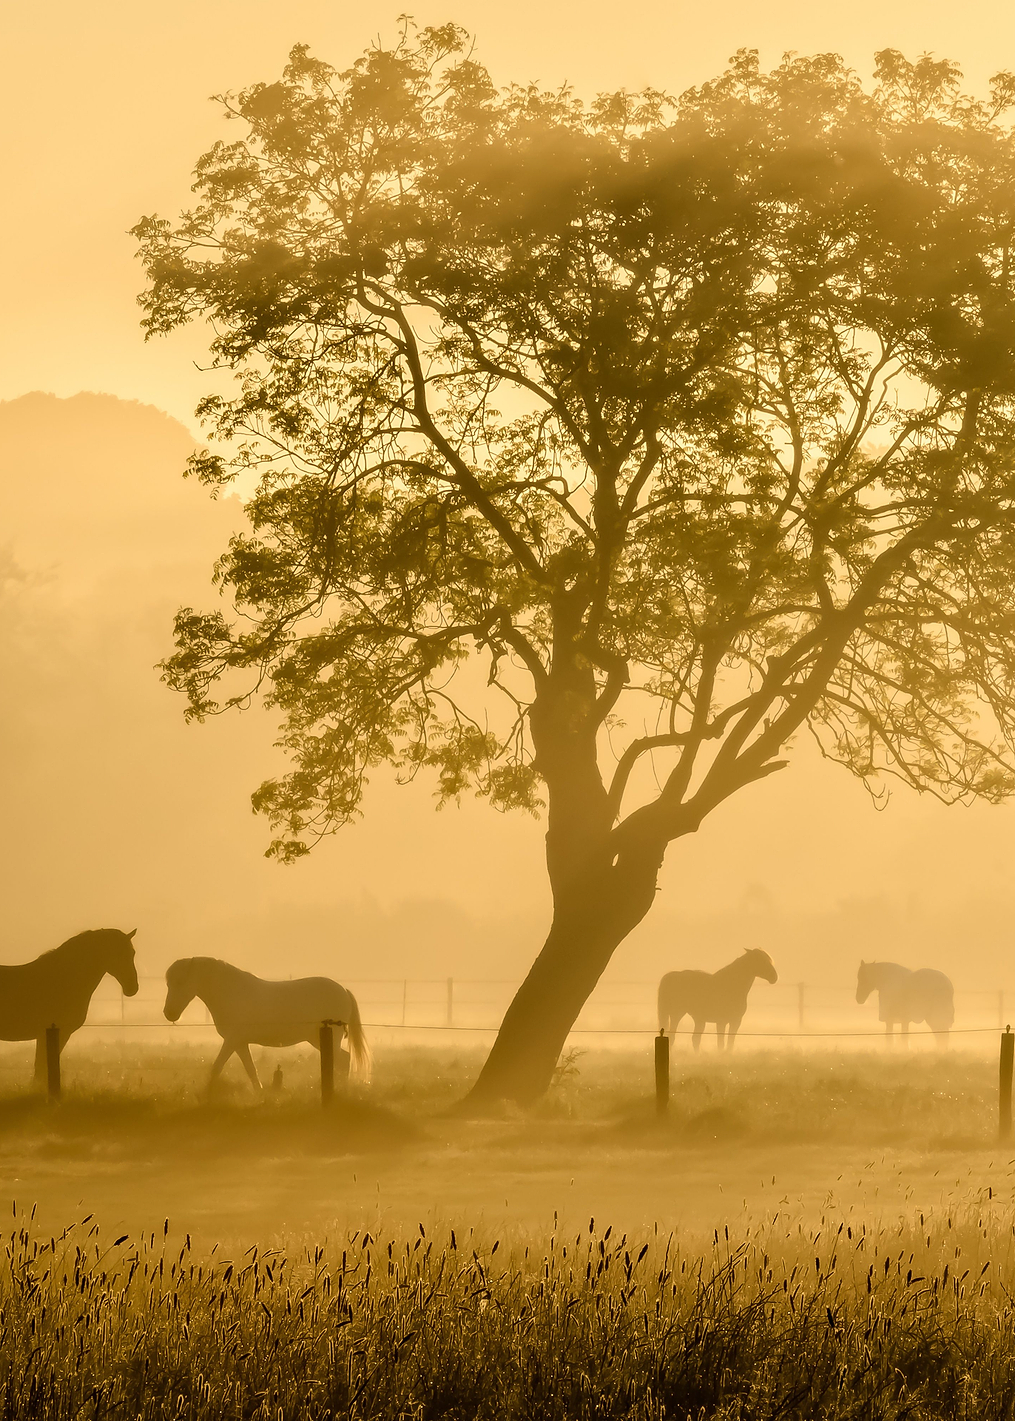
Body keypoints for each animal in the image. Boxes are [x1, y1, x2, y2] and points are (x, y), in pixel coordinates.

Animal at [0, 928, 139, 1085]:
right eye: (117, 953)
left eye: (132, 953)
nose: (132, 987)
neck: (63, 979)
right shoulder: (52, 1033)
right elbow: (42, 1068)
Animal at [163, 957, 371, 1091]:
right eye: (168, 983)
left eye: (180, 982)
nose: (169, 1013)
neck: (231, 992)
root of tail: (343, 990)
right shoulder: (239, 1043)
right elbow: (251, 1070)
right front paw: (260, 1093)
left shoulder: (231, 1040)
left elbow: (217, 1067)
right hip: (320, 1040)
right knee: (344, 1059)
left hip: (326, 1039)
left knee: (342, 1061)